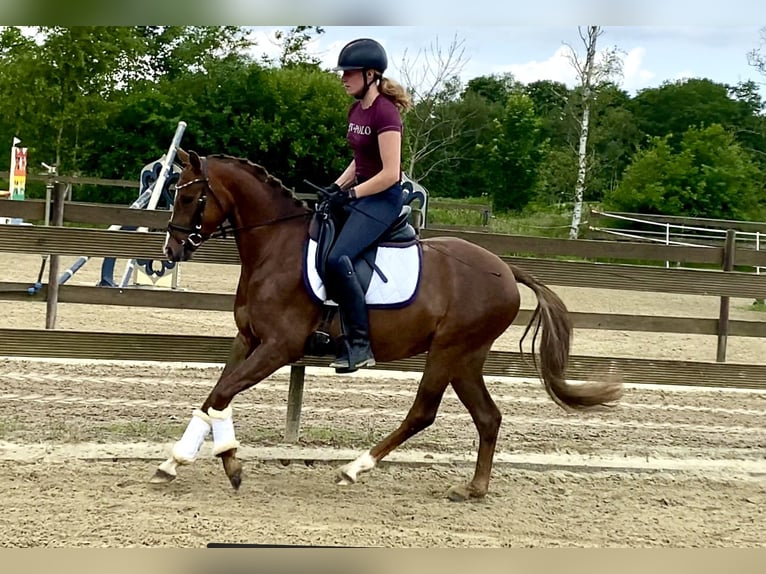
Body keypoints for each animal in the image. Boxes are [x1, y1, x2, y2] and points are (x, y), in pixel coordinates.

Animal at [156, 150, 624, 504]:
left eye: (189, 197)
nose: (171, 250)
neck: (276, 248)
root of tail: (506, 270)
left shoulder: (279, 347)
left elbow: (222, 394)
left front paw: (225, 462)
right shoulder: (248, 339)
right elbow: (214, 397)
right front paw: (178, 461)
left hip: (449, 351)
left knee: (423, 413)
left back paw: (354, 468)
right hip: (466, 358)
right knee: (488, 417)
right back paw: (473, 489)